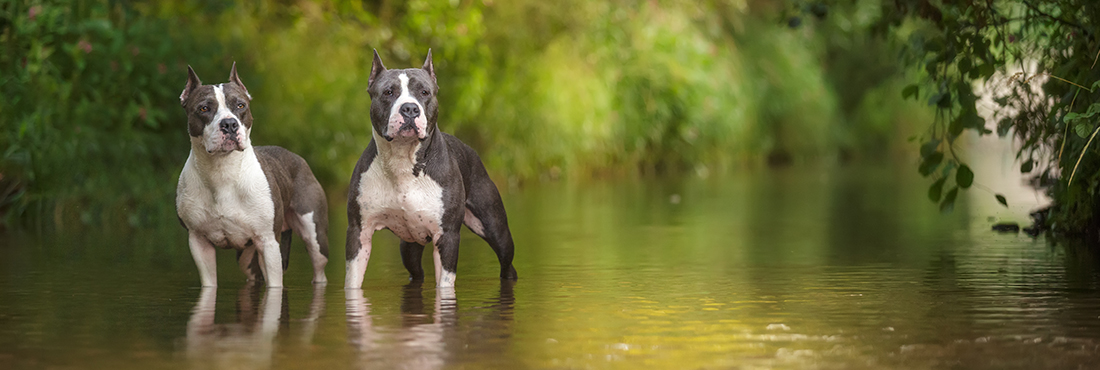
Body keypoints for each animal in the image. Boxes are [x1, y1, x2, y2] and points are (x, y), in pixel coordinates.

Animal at [176, 64, 327, 288]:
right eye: (204, 108)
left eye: (240, 105)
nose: (229, 124)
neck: (222, 171)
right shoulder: (198, 242)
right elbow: (209, 283)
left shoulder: (268, 242)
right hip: (247, 256)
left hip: (314, 236)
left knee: (319, 269)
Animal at [345, 49, 517, 288]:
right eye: (388, 92)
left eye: (424, 92)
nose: (409, 108)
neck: (403, 162)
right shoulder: (359, 233)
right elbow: (352, 282)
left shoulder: (447, 236)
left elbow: (444, 283)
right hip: (409, 248)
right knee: (416, 272)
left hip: (496, 231)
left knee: (507, 264)